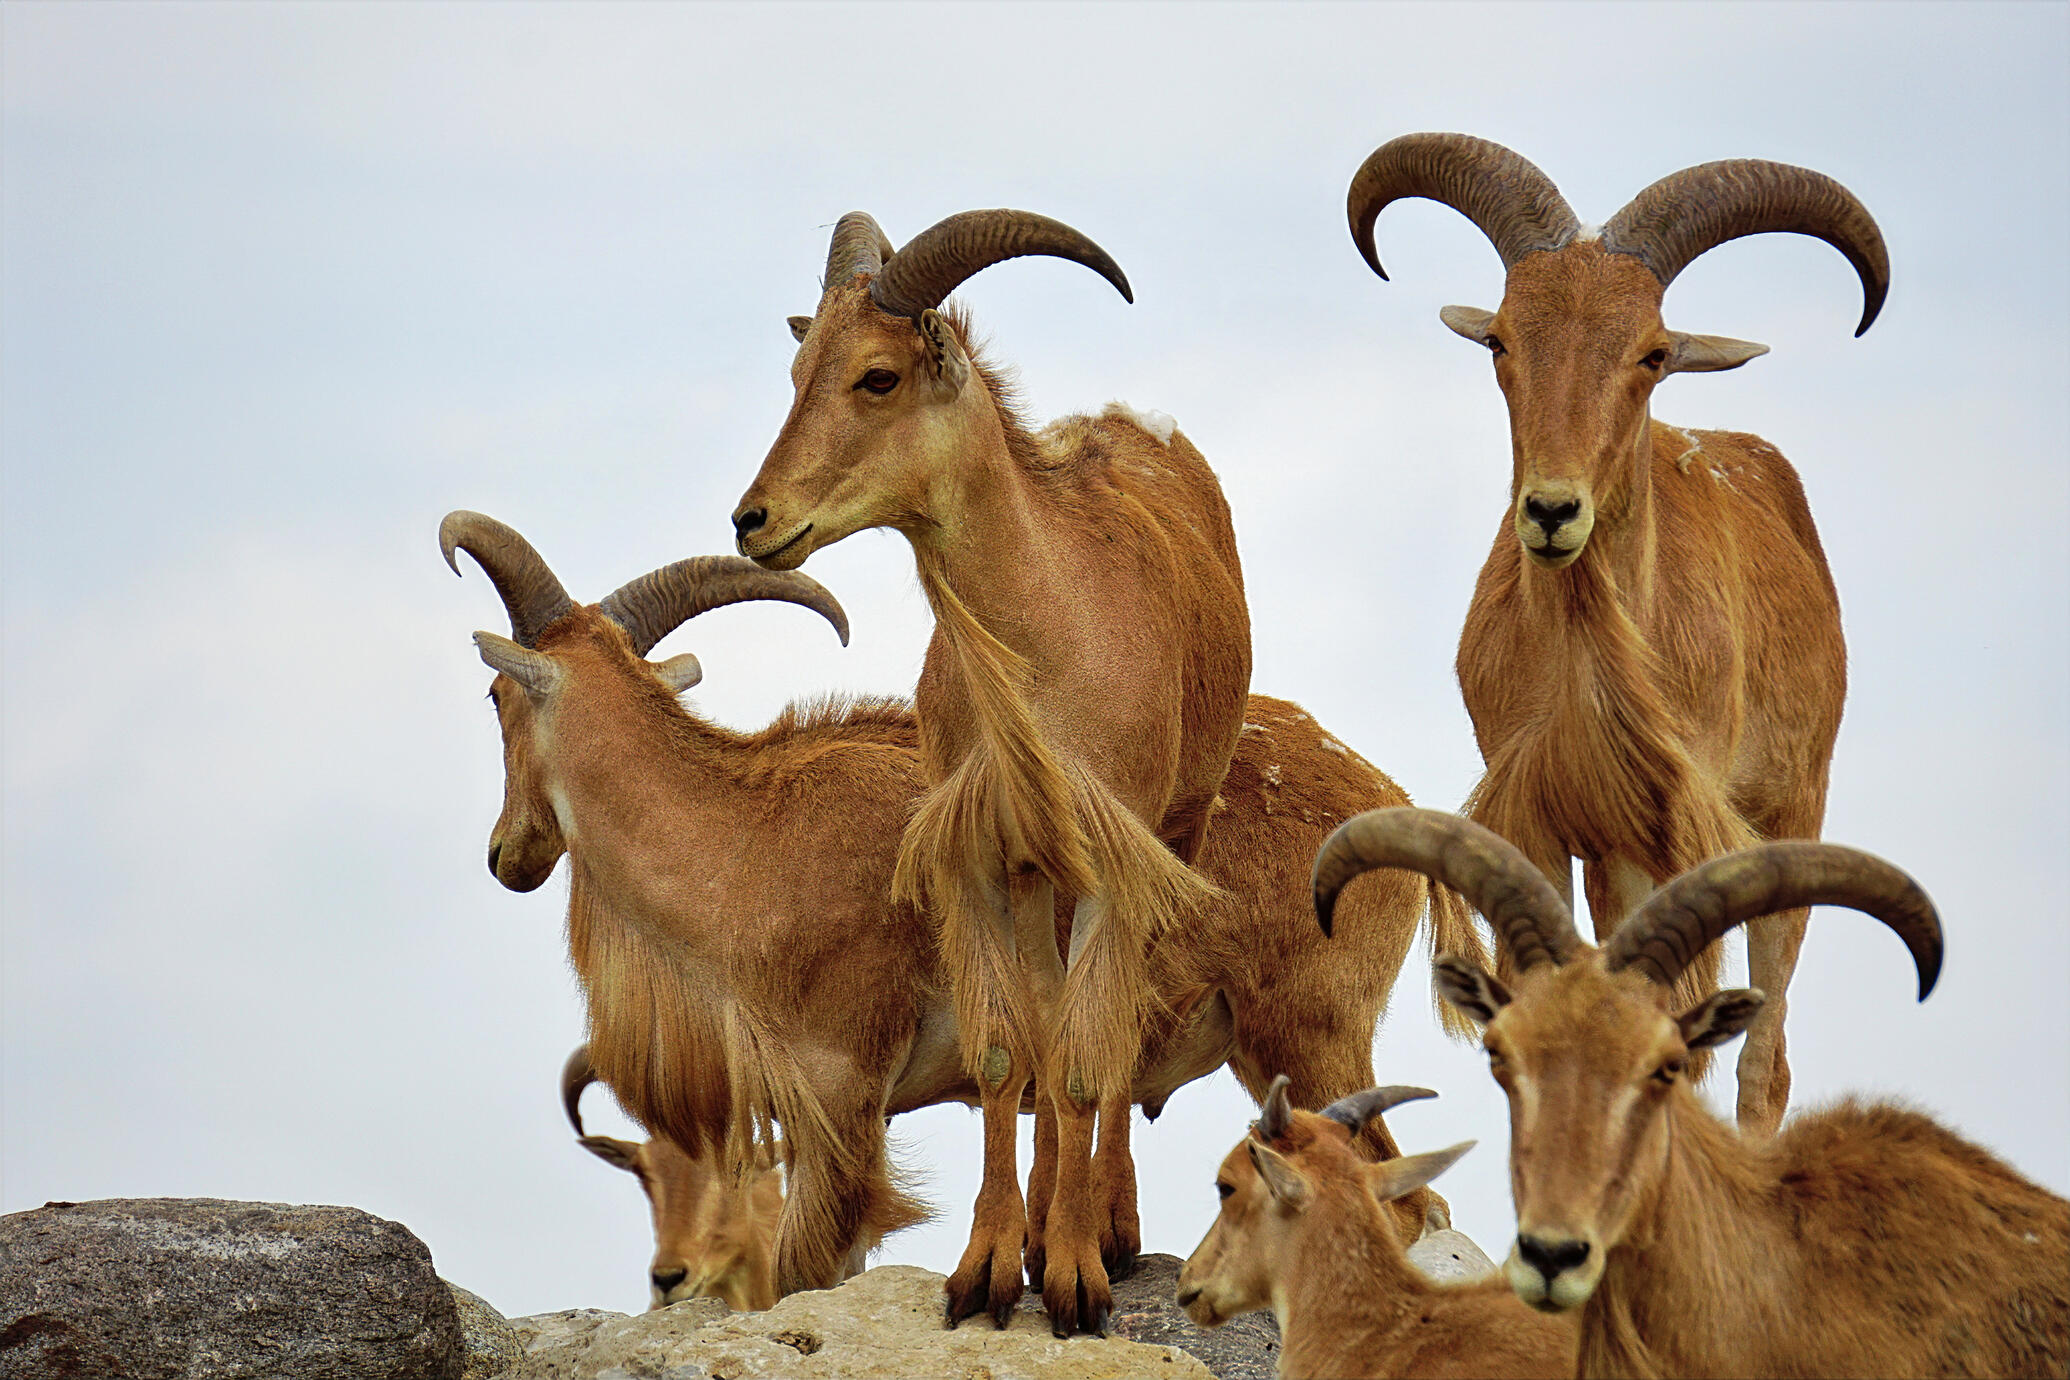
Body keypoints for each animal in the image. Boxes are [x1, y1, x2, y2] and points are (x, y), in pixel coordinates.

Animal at [730, 209, 1251, 1333]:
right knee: (1051, 1031)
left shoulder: (1113, 861)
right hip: (1031, 883)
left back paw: (1109, 1224)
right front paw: (987, 1271)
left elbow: (1089, 1061)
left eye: (877, 377)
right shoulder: (978, 862)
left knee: (1111, 1030)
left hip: (1173, 829)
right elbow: (1013, 1053)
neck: (1047, 638)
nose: (753, 521)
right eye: (798, 367)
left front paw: (1076, 1278)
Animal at [1345, 133, 1892, 1136]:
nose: (1553, 511)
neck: (1588, 663)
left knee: (1765, 1058)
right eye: (1502, 338)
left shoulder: (1683, 827)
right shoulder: (1550, 824)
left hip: (1792, 811)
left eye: (1652, 351)